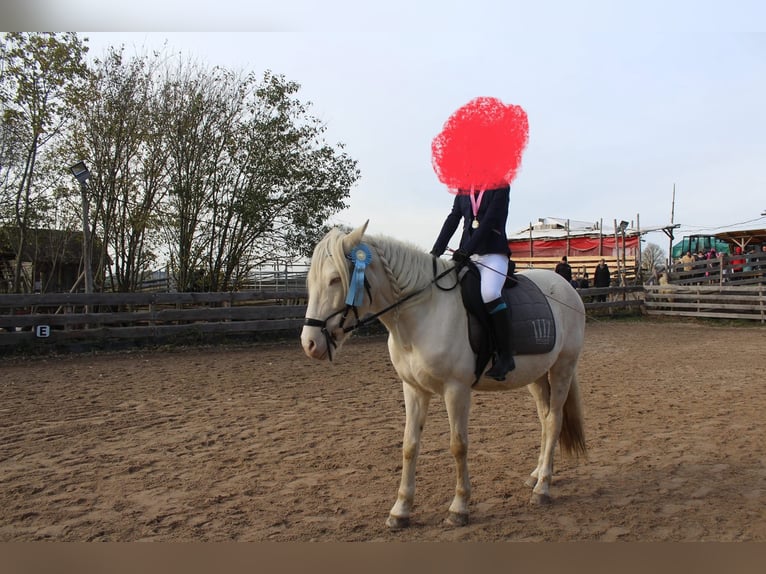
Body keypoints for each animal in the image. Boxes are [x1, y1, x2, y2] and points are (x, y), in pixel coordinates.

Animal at [300, 224, 588, 532]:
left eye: (334, 279)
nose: (310, 344)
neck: (422, 313)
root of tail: (565, 286)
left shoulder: (456, 390)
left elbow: (458, 446)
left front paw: (459, 508)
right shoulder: (413, 389)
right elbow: (409, 446)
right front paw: (400, 511)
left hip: (563, 367)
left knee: (554, 420)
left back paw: (542, 488)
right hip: (536, 376)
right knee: (545, 420)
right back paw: (537, 475)